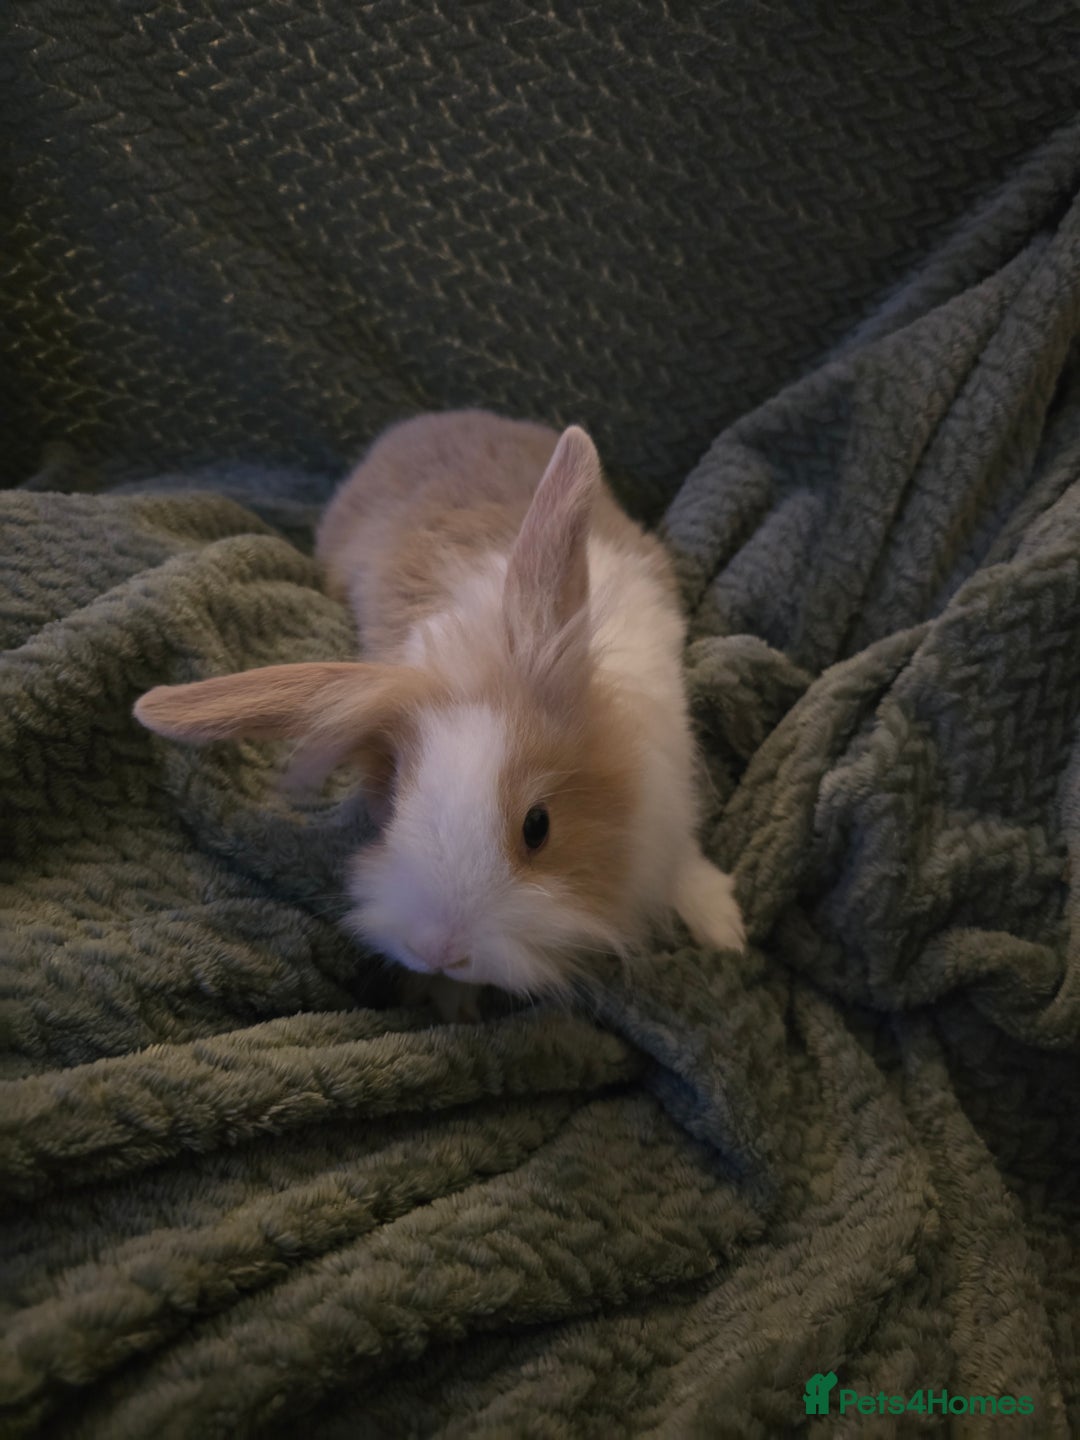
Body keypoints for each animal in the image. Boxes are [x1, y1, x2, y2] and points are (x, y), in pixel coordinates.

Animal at [134, 410, 745, 1008]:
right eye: (390, 810)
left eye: (538, 826)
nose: (441, 951)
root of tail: (428, 420)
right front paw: (445, 1001)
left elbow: (684, 861)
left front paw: (723, 928)